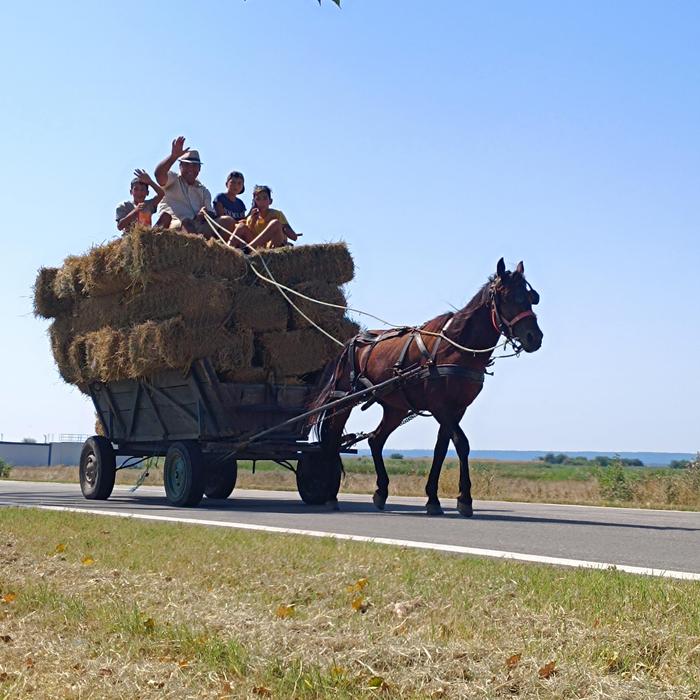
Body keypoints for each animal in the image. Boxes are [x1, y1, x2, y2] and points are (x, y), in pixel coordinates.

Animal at [308, 258, 544, 516]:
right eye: (508, 297)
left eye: (531, 297)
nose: (534, 337)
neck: (457, 348)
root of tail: (353, 340)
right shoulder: (440, 406)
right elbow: (462, 444)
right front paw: (464, 498)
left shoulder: (457, 409)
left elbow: (442, 448)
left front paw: (434, 498)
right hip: (346, 398)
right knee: (333, 439)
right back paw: (331, 495)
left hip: (396, 408)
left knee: (376, 440)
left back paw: (381, 491)